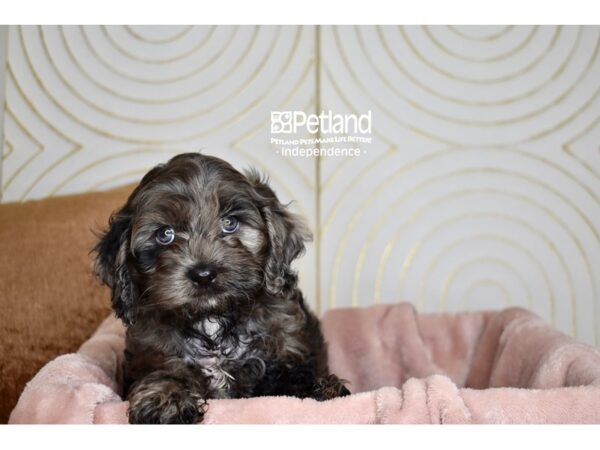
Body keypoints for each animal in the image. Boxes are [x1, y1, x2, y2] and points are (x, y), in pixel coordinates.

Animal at [92, 153, 350, 424]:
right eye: (165, 234)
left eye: (230, 223)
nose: (204, 274)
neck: (211, 319)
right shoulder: (151, 350)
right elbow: (163, 371)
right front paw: (164, 401)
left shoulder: (285, 345)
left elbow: (290, 375)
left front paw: (320, 389)